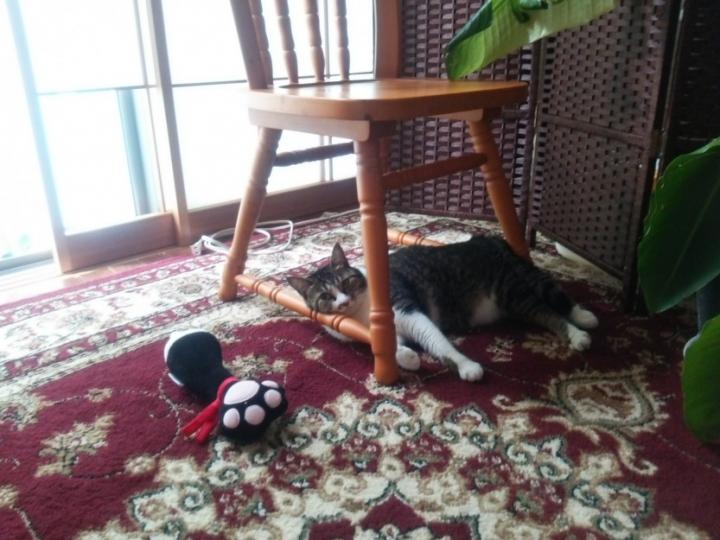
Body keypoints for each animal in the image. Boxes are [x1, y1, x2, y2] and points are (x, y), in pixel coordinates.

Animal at [287, 237, 598, 382]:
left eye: (347, 282)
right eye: (325, 296)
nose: (343, 302)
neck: (361, 314)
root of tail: (487, 239)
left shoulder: (406, 309)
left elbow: (437, 342)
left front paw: (466, 366)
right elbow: (391, 346)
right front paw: (408, 358)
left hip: (512, 291)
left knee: (551, 310)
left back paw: (581, 327)